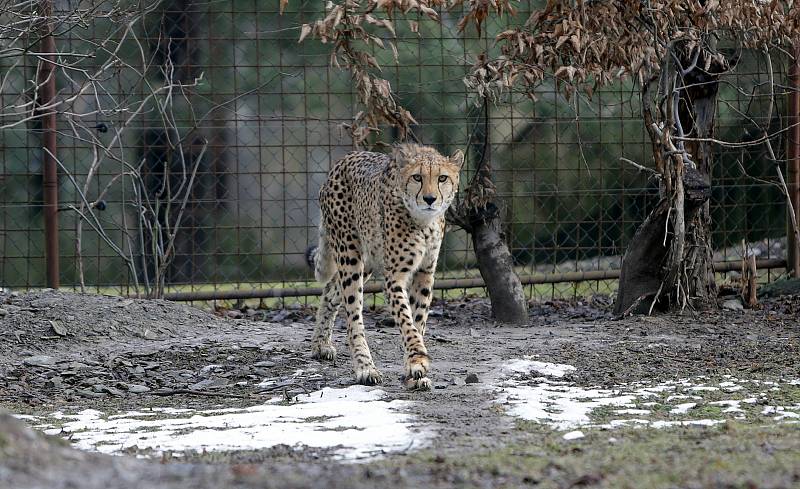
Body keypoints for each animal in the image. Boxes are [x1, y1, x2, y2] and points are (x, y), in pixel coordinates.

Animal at [304, 142, 462, 388]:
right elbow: (406, 321)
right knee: (353, 316)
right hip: (350, 256)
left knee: (331, 290)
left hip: (368, 260)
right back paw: (365, 368)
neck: (423, 223)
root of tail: (345, 159)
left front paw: (414, 369)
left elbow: (418, 320)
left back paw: (320, 344)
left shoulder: (425, 272)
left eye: (442, 178)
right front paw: (417, 359)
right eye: (417, 177)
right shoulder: (394, 276)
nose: (429, 199)